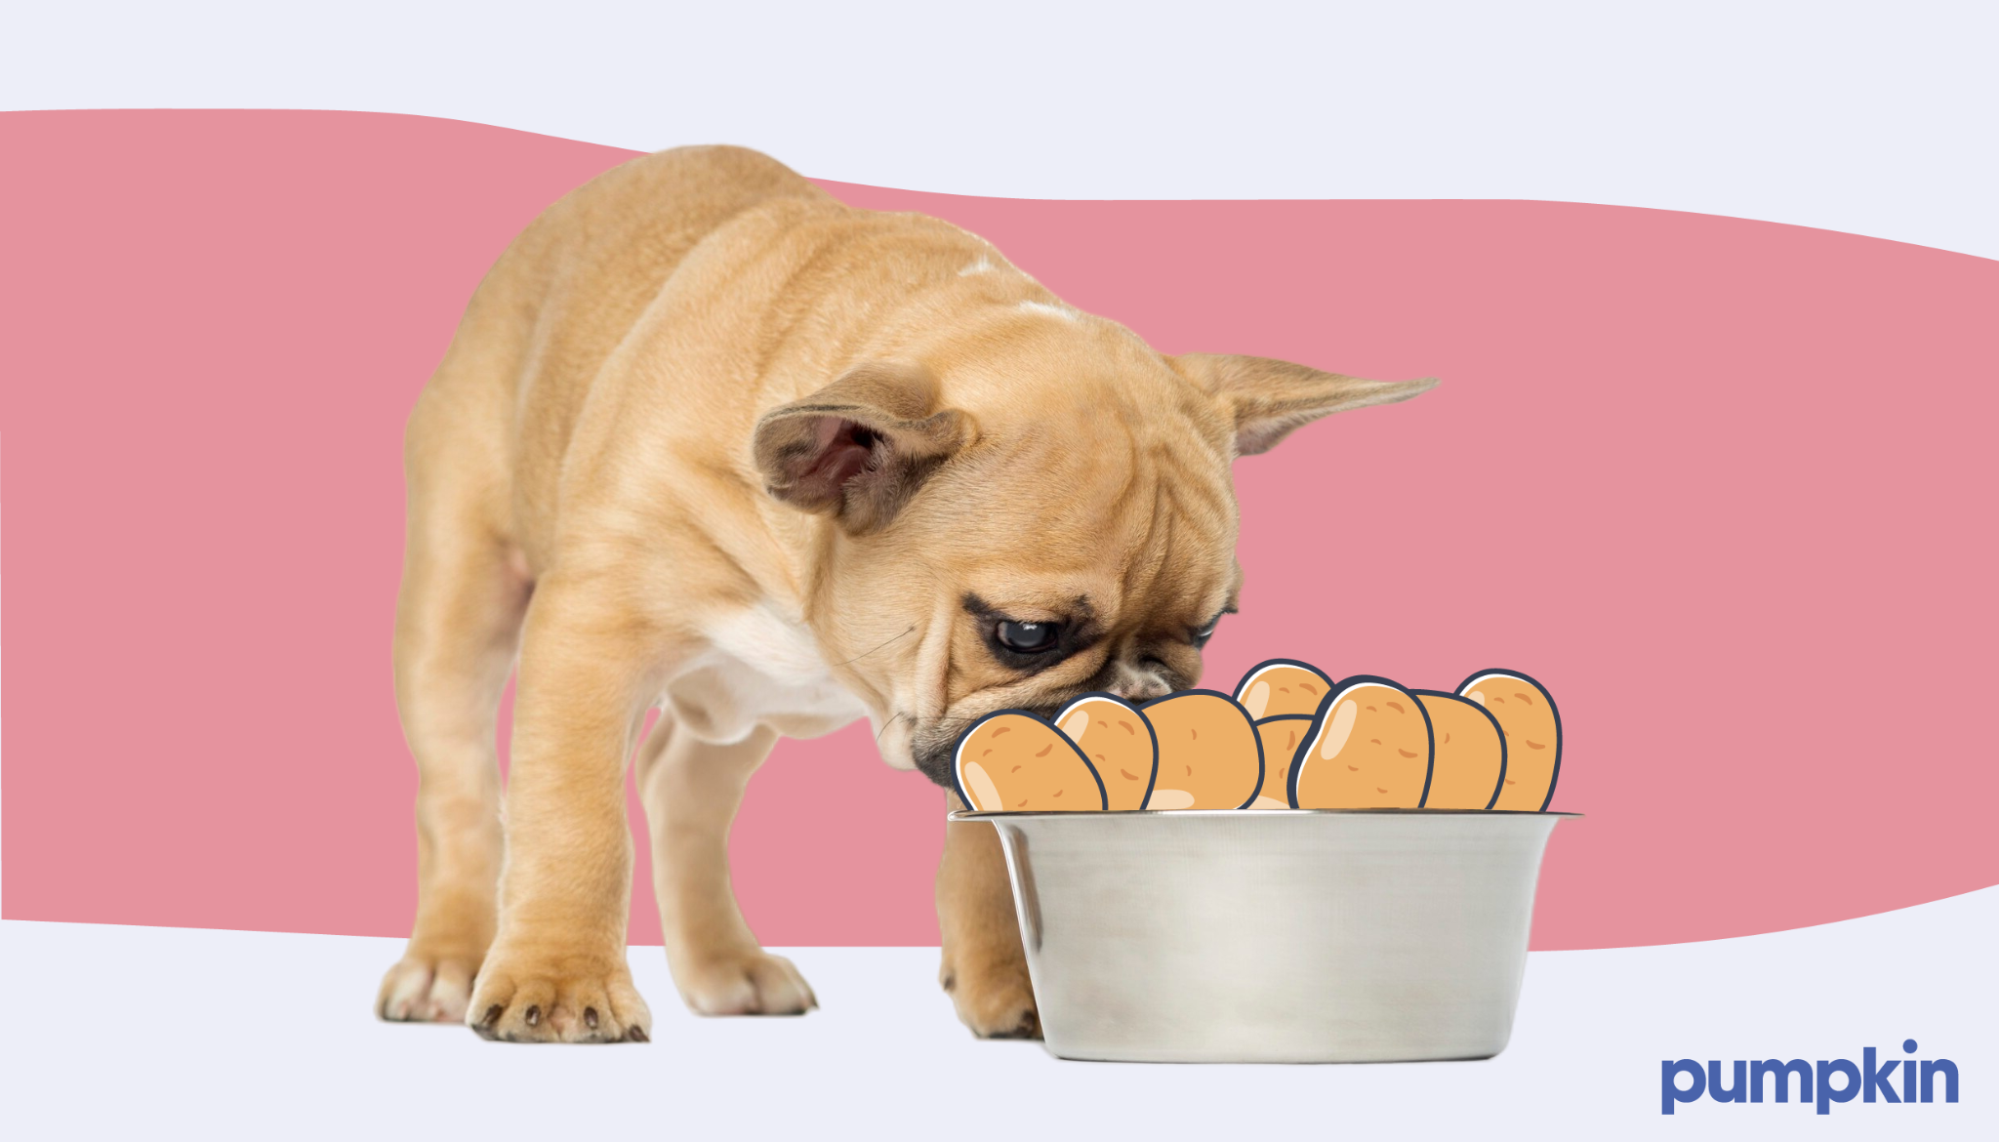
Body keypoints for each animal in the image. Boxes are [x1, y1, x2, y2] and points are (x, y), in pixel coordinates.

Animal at [375, 140, 1439, 1039]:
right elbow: (574, 819)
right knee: (459, 788)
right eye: (1024, 633)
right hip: (460, 599)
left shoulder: (978, 738)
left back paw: (725, 964)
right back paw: (449, 960)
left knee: (683, 784)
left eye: (1210, 629)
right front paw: (560, 980)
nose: (1143, 699)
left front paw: (1009, 982)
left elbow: (988, 855)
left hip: (748, 704)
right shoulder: (591, 632)